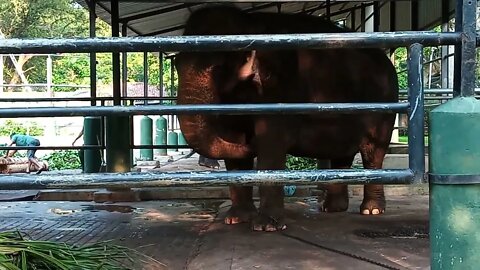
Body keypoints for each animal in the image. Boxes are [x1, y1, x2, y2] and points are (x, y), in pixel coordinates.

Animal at [174, 5, 400, 231]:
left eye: (219, 68)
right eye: (175, 64)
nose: (250, 143)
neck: (249, 23)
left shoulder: (279, 89)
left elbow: (271, 144)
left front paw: (266, 227)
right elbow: (233, 140)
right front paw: (236, 219)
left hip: (384, 104)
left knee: (373, 152)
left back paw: (372, 211)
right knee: (342, 156)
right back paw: (332, 208)